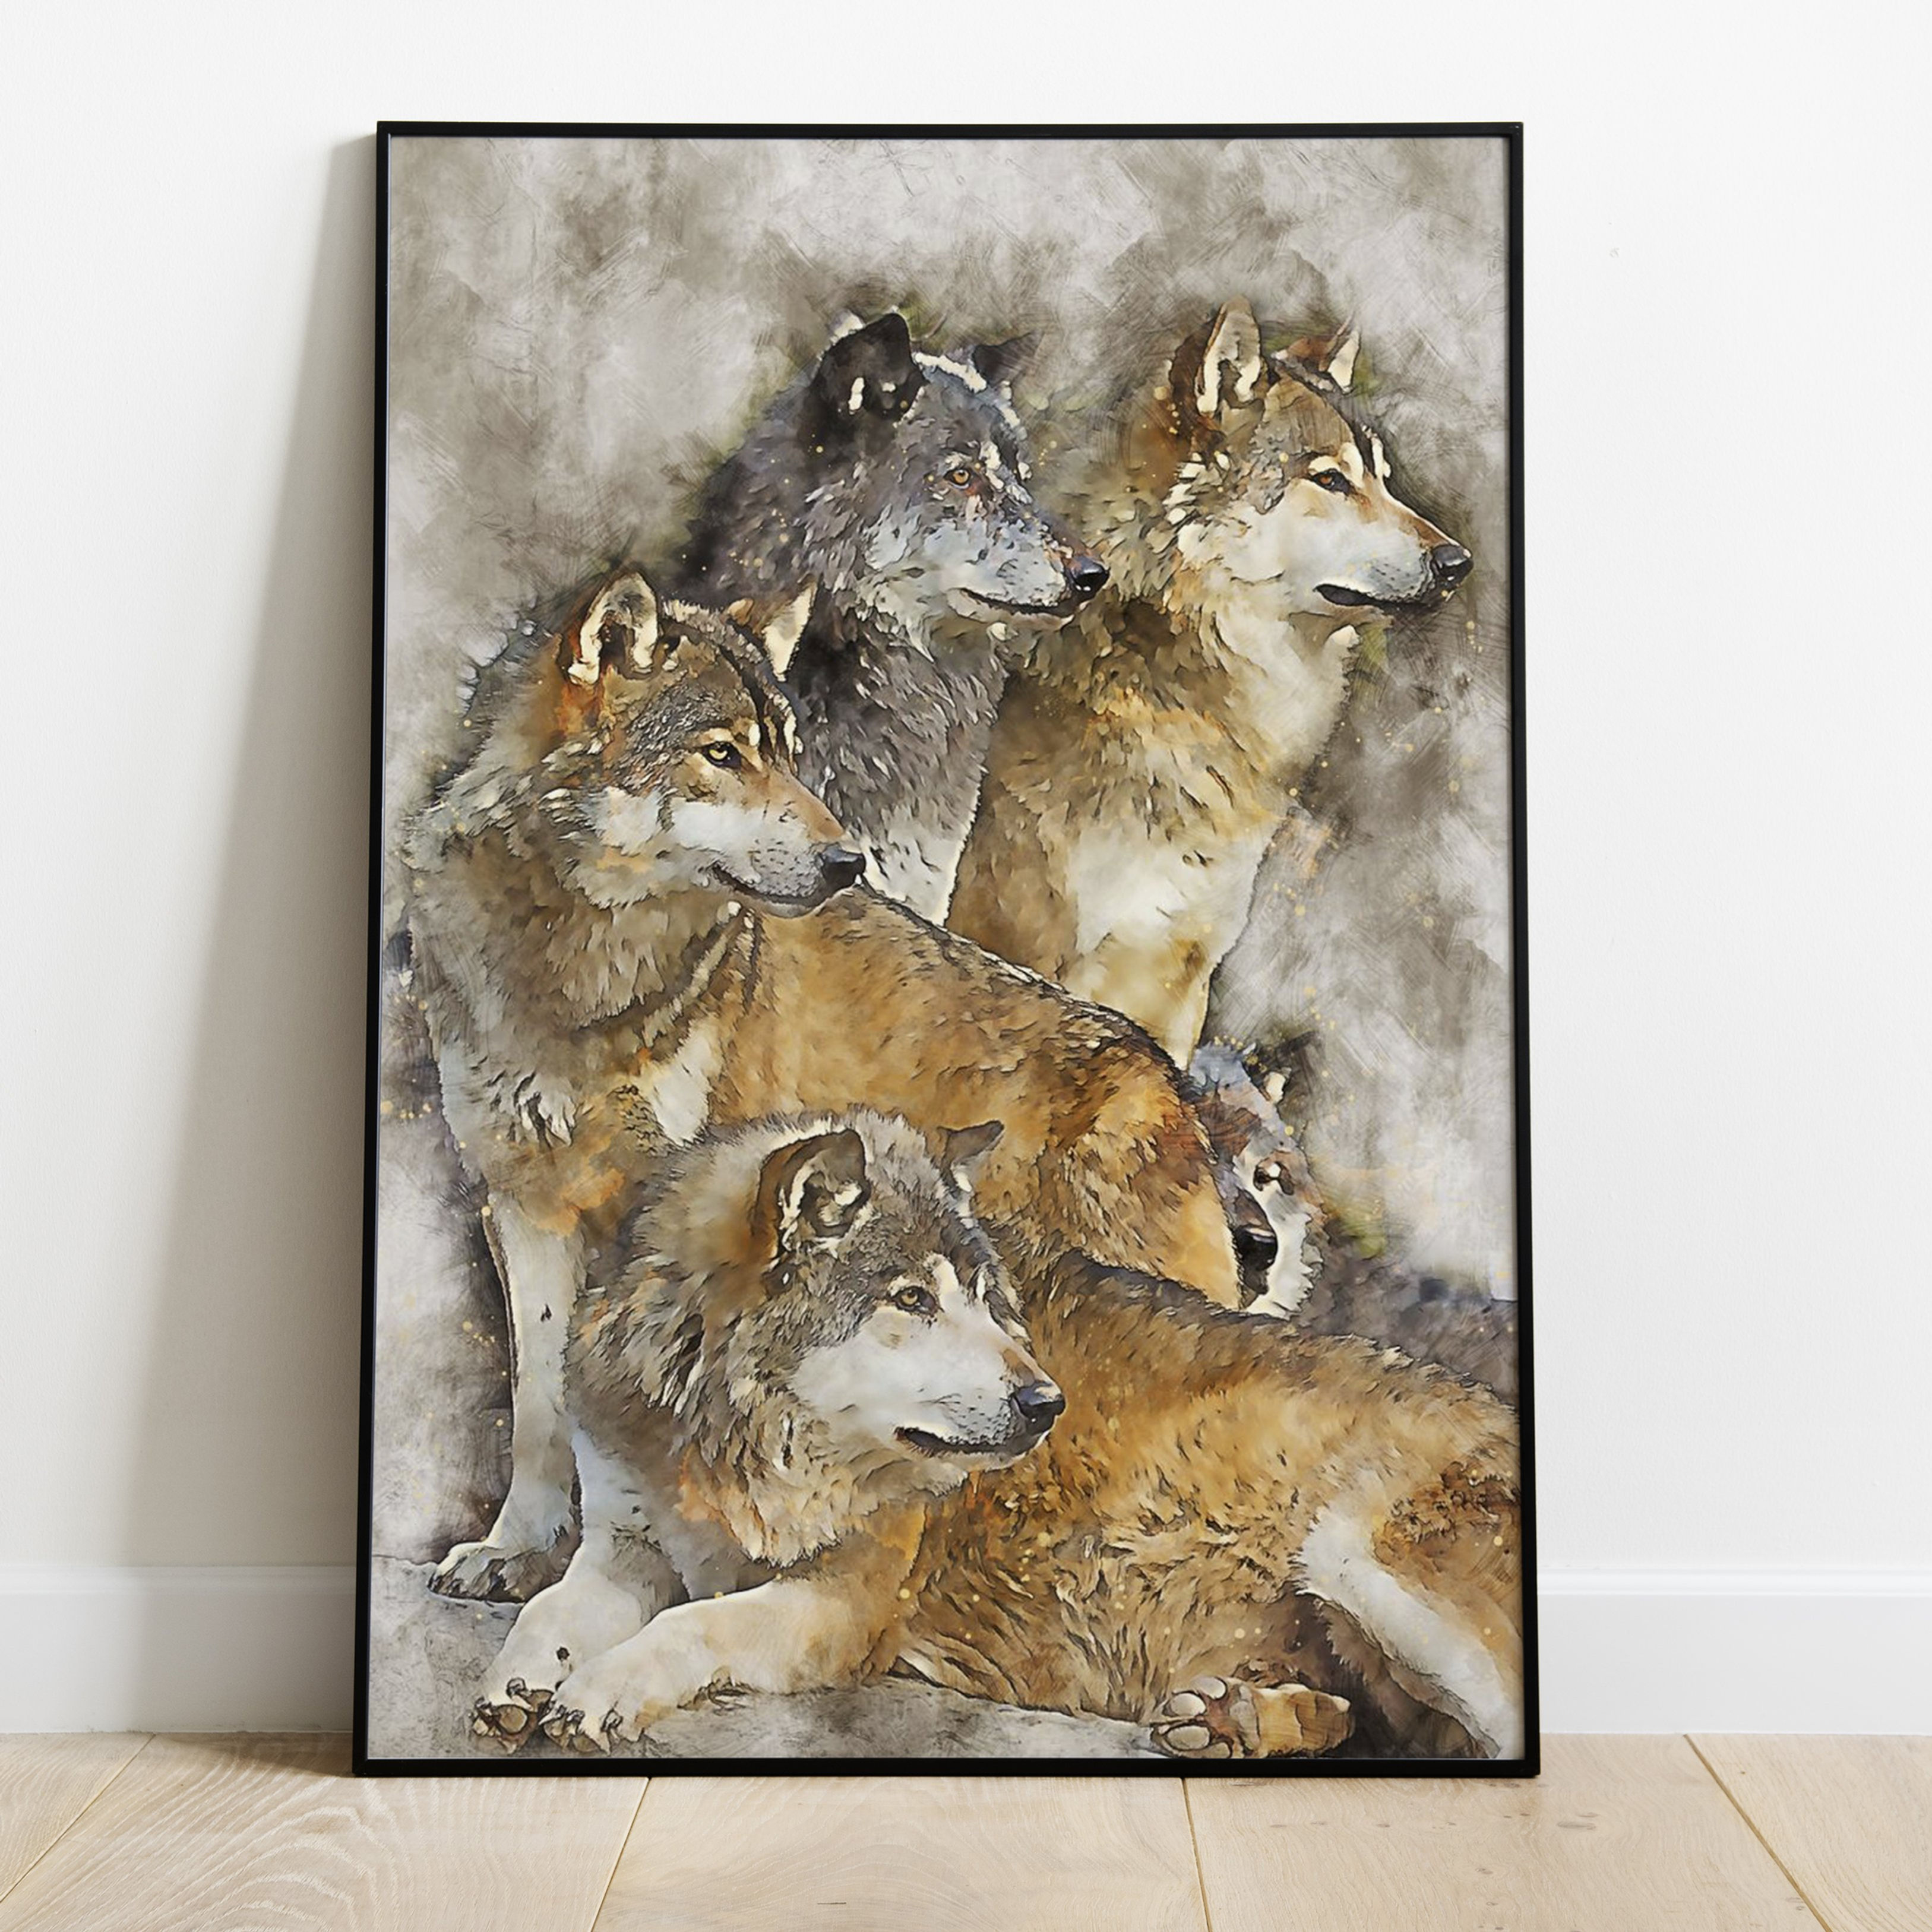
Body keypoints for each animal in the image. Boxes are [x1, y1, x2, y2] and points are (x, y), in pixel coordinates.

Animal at [405, 564, 1242, 1600]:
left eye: (790, 756)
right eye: (722, 754)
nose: (850, 860)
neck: (579, 980)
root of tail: (1165, 1077)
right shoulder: (523, 1204)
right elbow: (537, 1405)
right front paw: (516, 1548)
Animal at [472, 1115, 1520, 1764]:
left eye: (982, 1298)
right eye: (910, 1300)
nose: (1045, 1401)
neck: (735, 1444)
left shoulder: (842, 1603)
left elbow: (692, 1625)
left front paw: (601, 1688)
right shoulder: (626, 1544)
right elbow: (550, 1613)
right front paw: (521, 1680)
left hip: (1357, 1562)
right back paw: (1238, 1723)